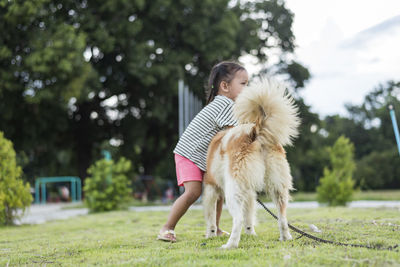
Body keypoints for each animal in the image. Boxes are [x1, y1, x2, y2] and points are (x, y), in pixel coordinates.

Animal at [203, 78, 300, 250]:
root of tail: (255, 131)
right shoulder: (249, 192)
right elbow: (249, 215)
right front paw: (250, 234)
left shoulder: (210, 188)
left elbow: (211, 217)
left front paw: (211, 234)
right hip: (278, 188)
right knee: (282, 216)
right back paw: (286, 238)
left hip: (233, 190)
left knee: (238, 219)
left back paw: (230, 245)